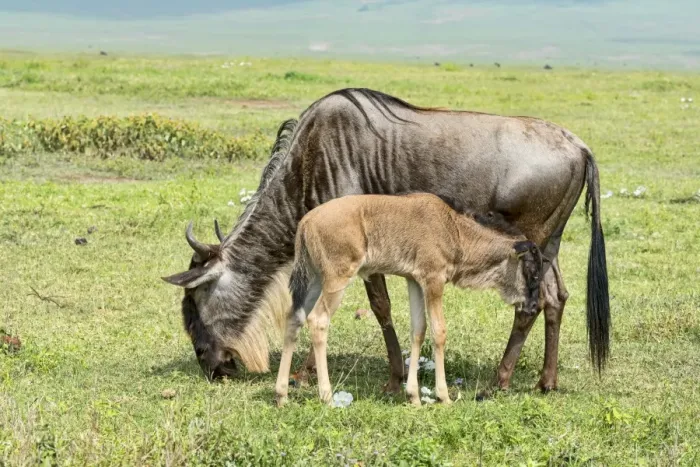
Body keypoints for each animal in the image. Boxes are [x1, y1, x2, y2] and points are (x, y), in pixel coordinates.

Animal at [274, 193, 545, 406]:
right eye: (532, 272)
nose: (533, 306)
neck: (453, 230)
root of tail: (306, 223)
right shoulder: (434, 279)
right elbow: (439, 331)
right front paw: (444, 396)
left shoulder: (414, 280)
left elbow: (419, 329)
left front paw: (413, 396)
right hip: (337, 280)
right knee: (318, 320)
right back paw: (327, 396)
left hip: (314, 279)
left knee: (294, 318)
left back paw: (281, 395)